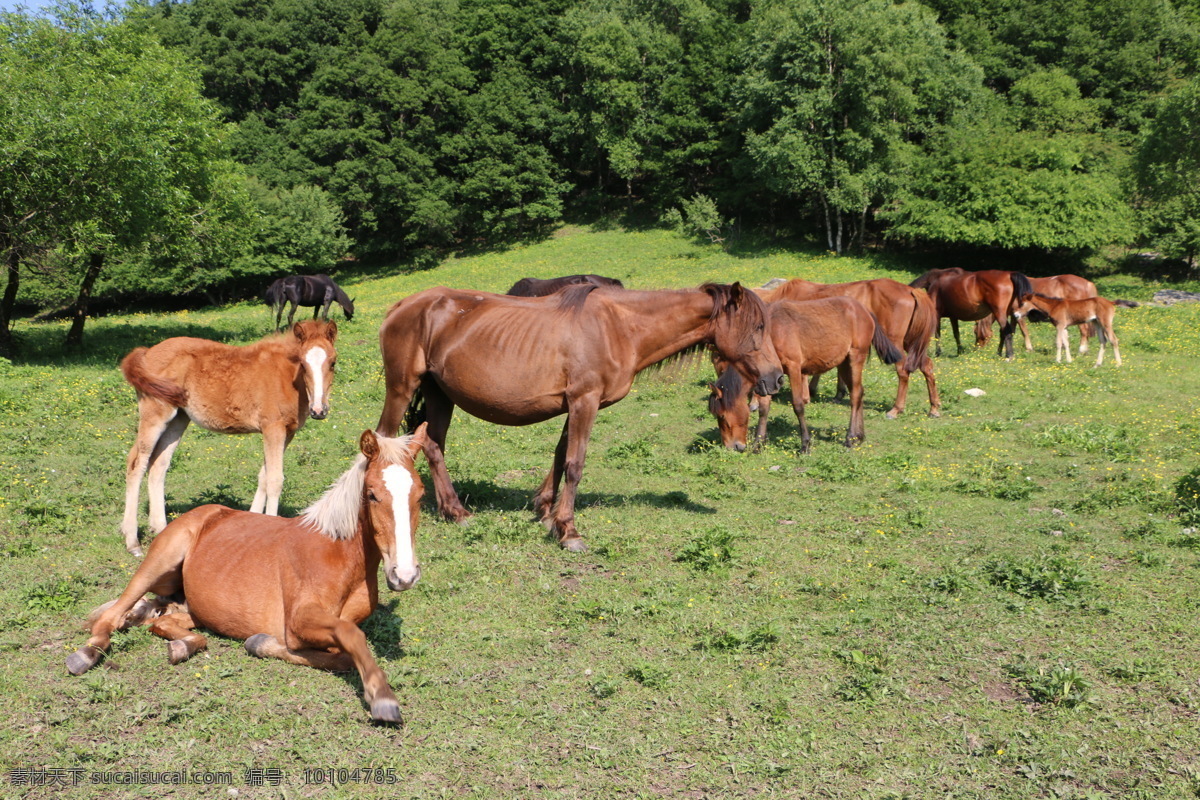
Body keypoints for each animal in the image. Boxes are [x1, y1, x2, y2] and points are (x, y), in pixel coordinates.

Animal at [69, 429, 427, 729]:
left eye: (420, 495)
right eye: (372, 494)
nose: (404, 575)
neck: (338, 555)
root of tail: (199, 513)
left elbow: (342, 654)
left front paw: (260, 642)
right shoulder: (299, 621)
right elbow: (351, 639)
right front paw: (383, 699)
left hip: (191, 607)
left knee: (164, 621)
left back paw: (183, 646)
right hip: (157, 562)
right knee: (113, 615)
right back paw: (85, 655)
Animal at [118, 319, 338, 556]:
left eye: (333, 363)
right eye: (303, 364)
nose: (319, 410)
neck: (287, 378)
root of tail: (146, 352)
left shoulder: (287, 432)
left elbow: (263, 477)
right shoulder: (273, 428)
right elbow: (274, 480)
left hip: (178, 419)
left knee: (159, 465)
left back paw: (160, 529)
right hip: (155, 415)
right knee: (137, 464)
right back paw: (132, 541)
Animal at [376, 281, 787, 551]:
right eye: (758, 327)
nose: (776, 378)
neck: (619, 327)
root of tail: (400, 306)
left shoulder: (575, 406)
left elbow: (560, 457)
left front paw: (546, 512)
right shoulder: (584, 402)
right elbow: (575, 463)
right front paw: (569, 532)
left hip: (439, 394)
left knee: (433, 445)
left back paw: (456, 511)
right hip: (401, 389)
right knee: (383, 440)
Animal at [710, 297, 902, 453]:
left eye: (722, 416)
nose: (731, 447)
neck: (770, 336)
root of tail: (864, 310)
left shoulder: (794, 368)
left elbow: (798, 405)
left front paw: (805, 444)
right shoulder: (768, 378)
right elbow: (764, 408)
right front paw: (758, 444)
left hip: (856, 357)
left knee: (855, 395)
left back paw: (849, 438)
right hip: (844, 362)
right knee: (860, 392)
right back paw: (859, 436)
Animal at [753, 278, 940, 419]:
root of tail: (910, 290)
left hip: (896, 344)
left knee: (903, 371)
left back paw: (896, 409)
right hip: (911, 344)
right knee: (927, 366)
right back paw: (934, 407)